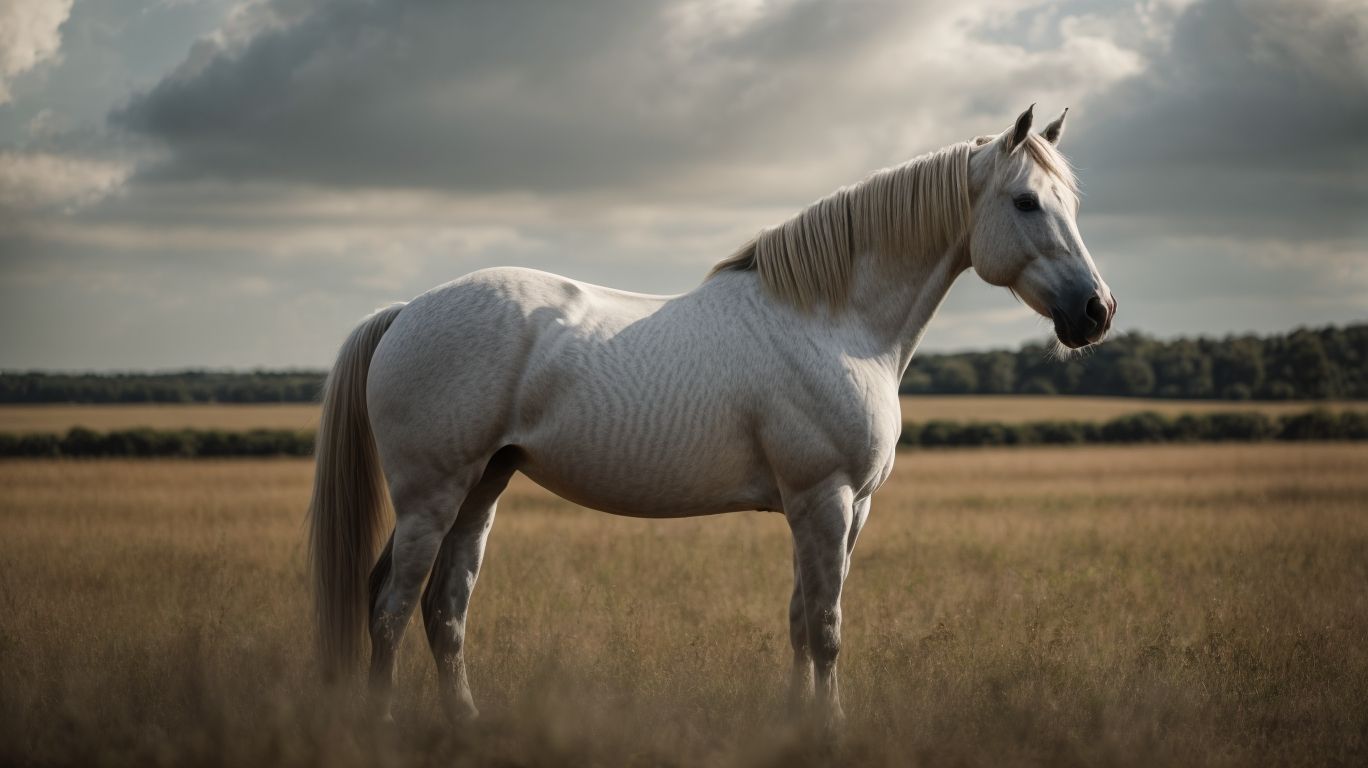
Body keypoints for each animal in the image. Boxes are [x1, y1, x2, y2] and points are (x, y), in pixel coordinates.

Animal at [307, 104, 1116, 730]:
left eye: (1071, 203)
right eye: (1026, 203)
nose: (1096, 311)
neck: (833, 323)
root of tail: (407, 309)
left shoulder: (845, 509)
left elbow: (800, 622)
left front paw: (798, 722)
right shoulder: (824, 499)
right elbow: (827, 628)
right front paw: (831, 728)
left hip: (482, 488)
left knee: (444, 609)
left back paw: (467, 721)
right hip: (432, 495)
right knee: (391, 607)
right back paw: (384, 722)